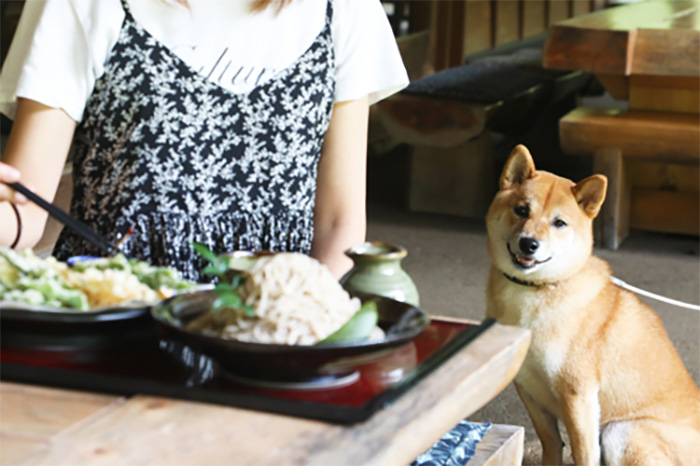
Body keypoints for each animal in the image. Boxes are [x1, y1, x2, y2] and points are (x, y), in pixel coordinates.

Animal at [486, 144, 700, 464]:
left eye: (559, 223)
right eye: (521, 210)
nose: (529, 244)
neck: (536, 292)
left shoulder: (578, 395)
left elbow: (583, 452)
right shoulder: (528, 389)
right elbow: (552, 443)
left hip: (621, 430)